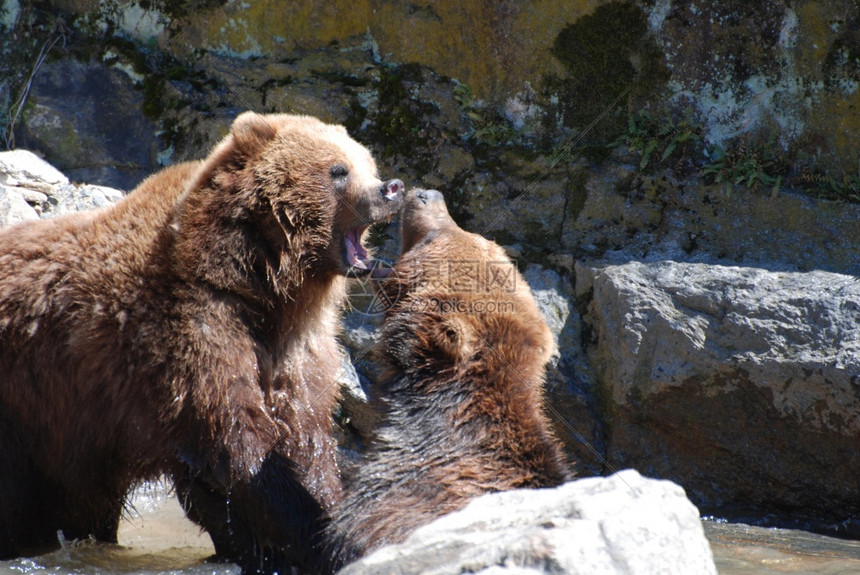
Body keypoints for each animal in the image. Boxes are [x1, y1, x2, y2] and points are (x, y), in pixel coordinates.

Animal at [0, 110, 404, 572]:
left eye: (367, 163)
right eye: (338, 170)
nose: (391, 188)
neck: (264, 285)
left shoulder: (297, 351)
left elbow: (306, 436)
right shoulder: (193, 332)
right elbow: (240, 446)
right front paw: (316, 536)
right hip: (28, 405)